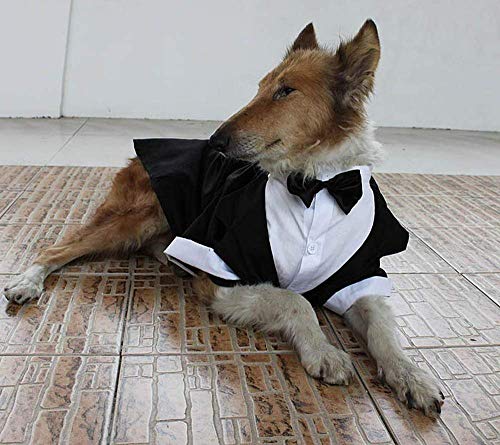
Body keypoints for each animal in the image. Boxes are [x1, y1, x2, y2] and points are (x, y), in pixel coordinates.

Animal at [1, 19, 444, 416]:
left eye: (286, 91)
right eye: (261, 87)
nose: (215, 141)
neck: (315, 185)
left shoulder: (358, 276)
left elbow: (384, 329)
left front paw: (412, 376)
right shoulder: (220, 278)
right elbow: (295, 299)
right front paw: (324, 351)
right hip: (137, 217)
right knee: (58, 248)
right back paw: (26, 282)